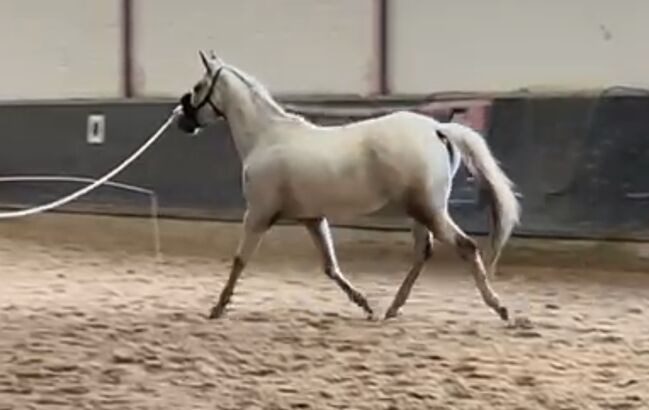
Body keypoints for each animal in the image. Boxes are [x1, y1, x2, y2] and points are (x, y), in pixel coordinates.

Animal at [175, 50, 520, 320]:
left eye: (198, 86)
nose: (181, 119)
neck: (267, 137)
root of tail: (436, 128)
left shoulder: (258, 215)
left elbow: (239, 261)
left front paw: (217, 308)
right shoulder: (312, 218)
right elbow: (330, 266)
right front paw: (364, 304)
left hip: (429, 210)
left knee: (466, 247)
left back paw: (500, 308)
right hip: (422, 212)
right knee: (423, 253)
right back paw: (391, 308)